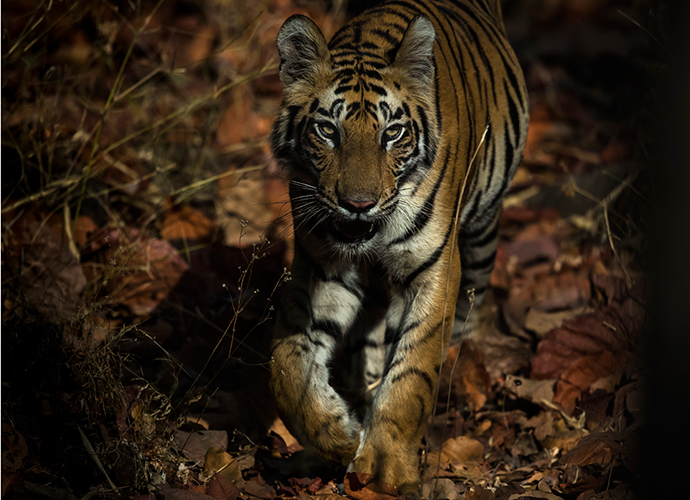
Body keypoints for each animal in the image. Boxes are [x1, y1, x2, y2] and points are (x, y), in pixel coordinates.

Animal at [266, 0, 524, 492]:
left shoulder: (434, 269)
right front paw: (340, 435)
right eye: (328, 131)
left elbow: (413, 371)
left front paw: (385, 464)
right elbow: (288, 366)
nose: (357, 205)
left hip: (483, 230)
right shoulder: (322, 268)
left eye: (392, 133)